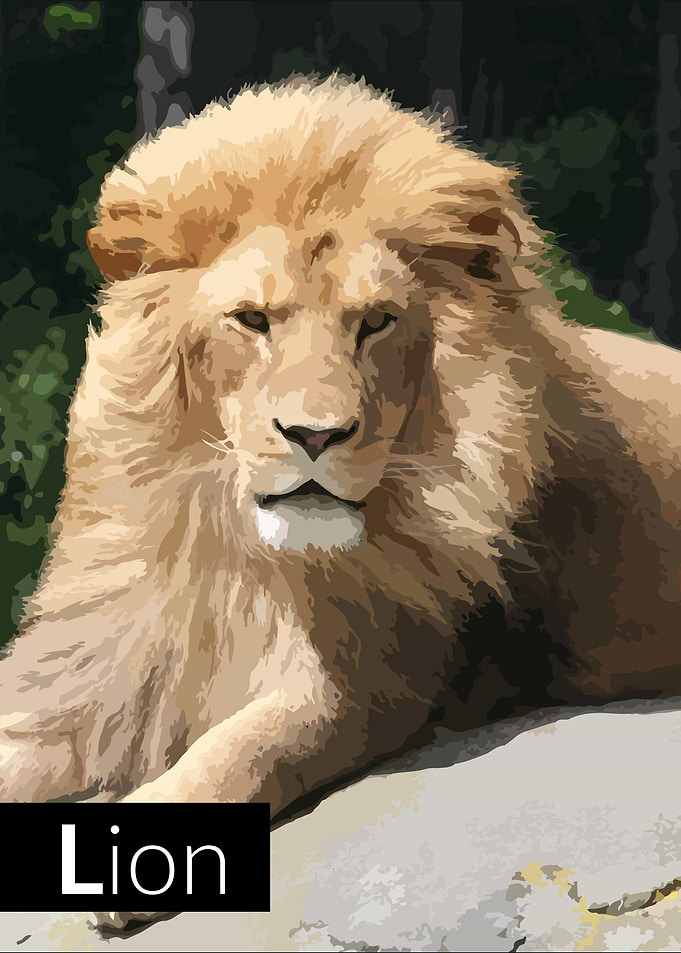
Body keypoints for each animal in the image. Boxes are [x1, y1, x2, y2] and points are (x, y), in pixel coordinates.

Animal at [3, 72, 681, 830]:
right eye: (252, 320)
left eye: (376, 322)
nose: (316, 435)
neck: (232, 551)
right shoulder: (92, 675)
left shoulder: (364, 684)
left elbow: (235, 757)